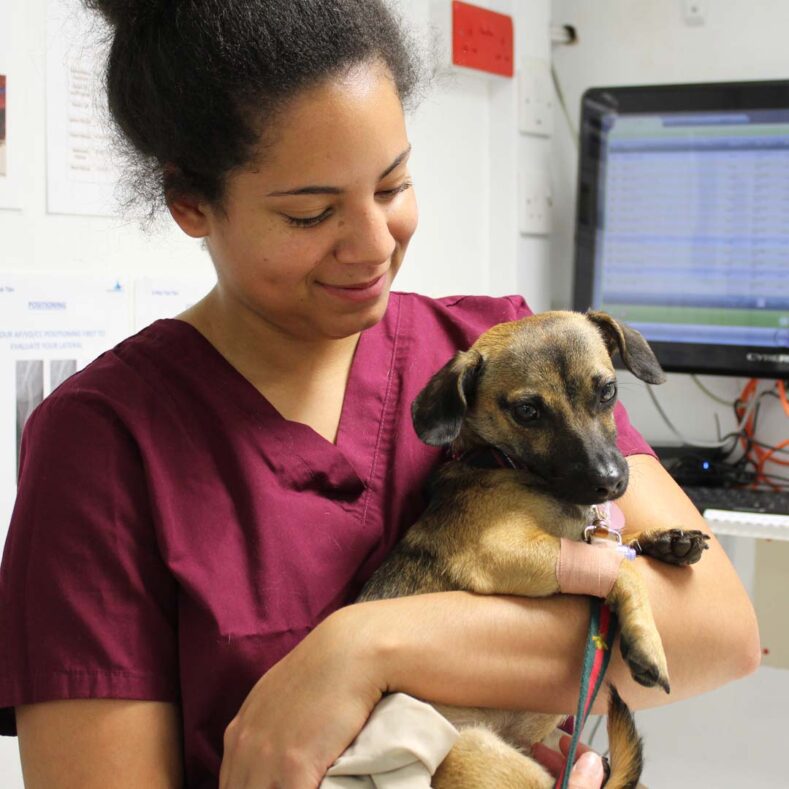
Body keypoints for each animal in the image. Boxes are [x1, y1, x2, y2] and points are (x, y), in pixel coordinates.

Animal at [358, 310, 708, 784]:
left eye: (607, 391)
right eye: (527, 411)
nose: (611, 482)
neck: (505, 464)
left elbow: (615, 543)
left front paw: (665, 540)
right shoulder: (500, 552)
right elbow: (620, 567)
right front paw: (645, 639)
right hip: (478, 750)